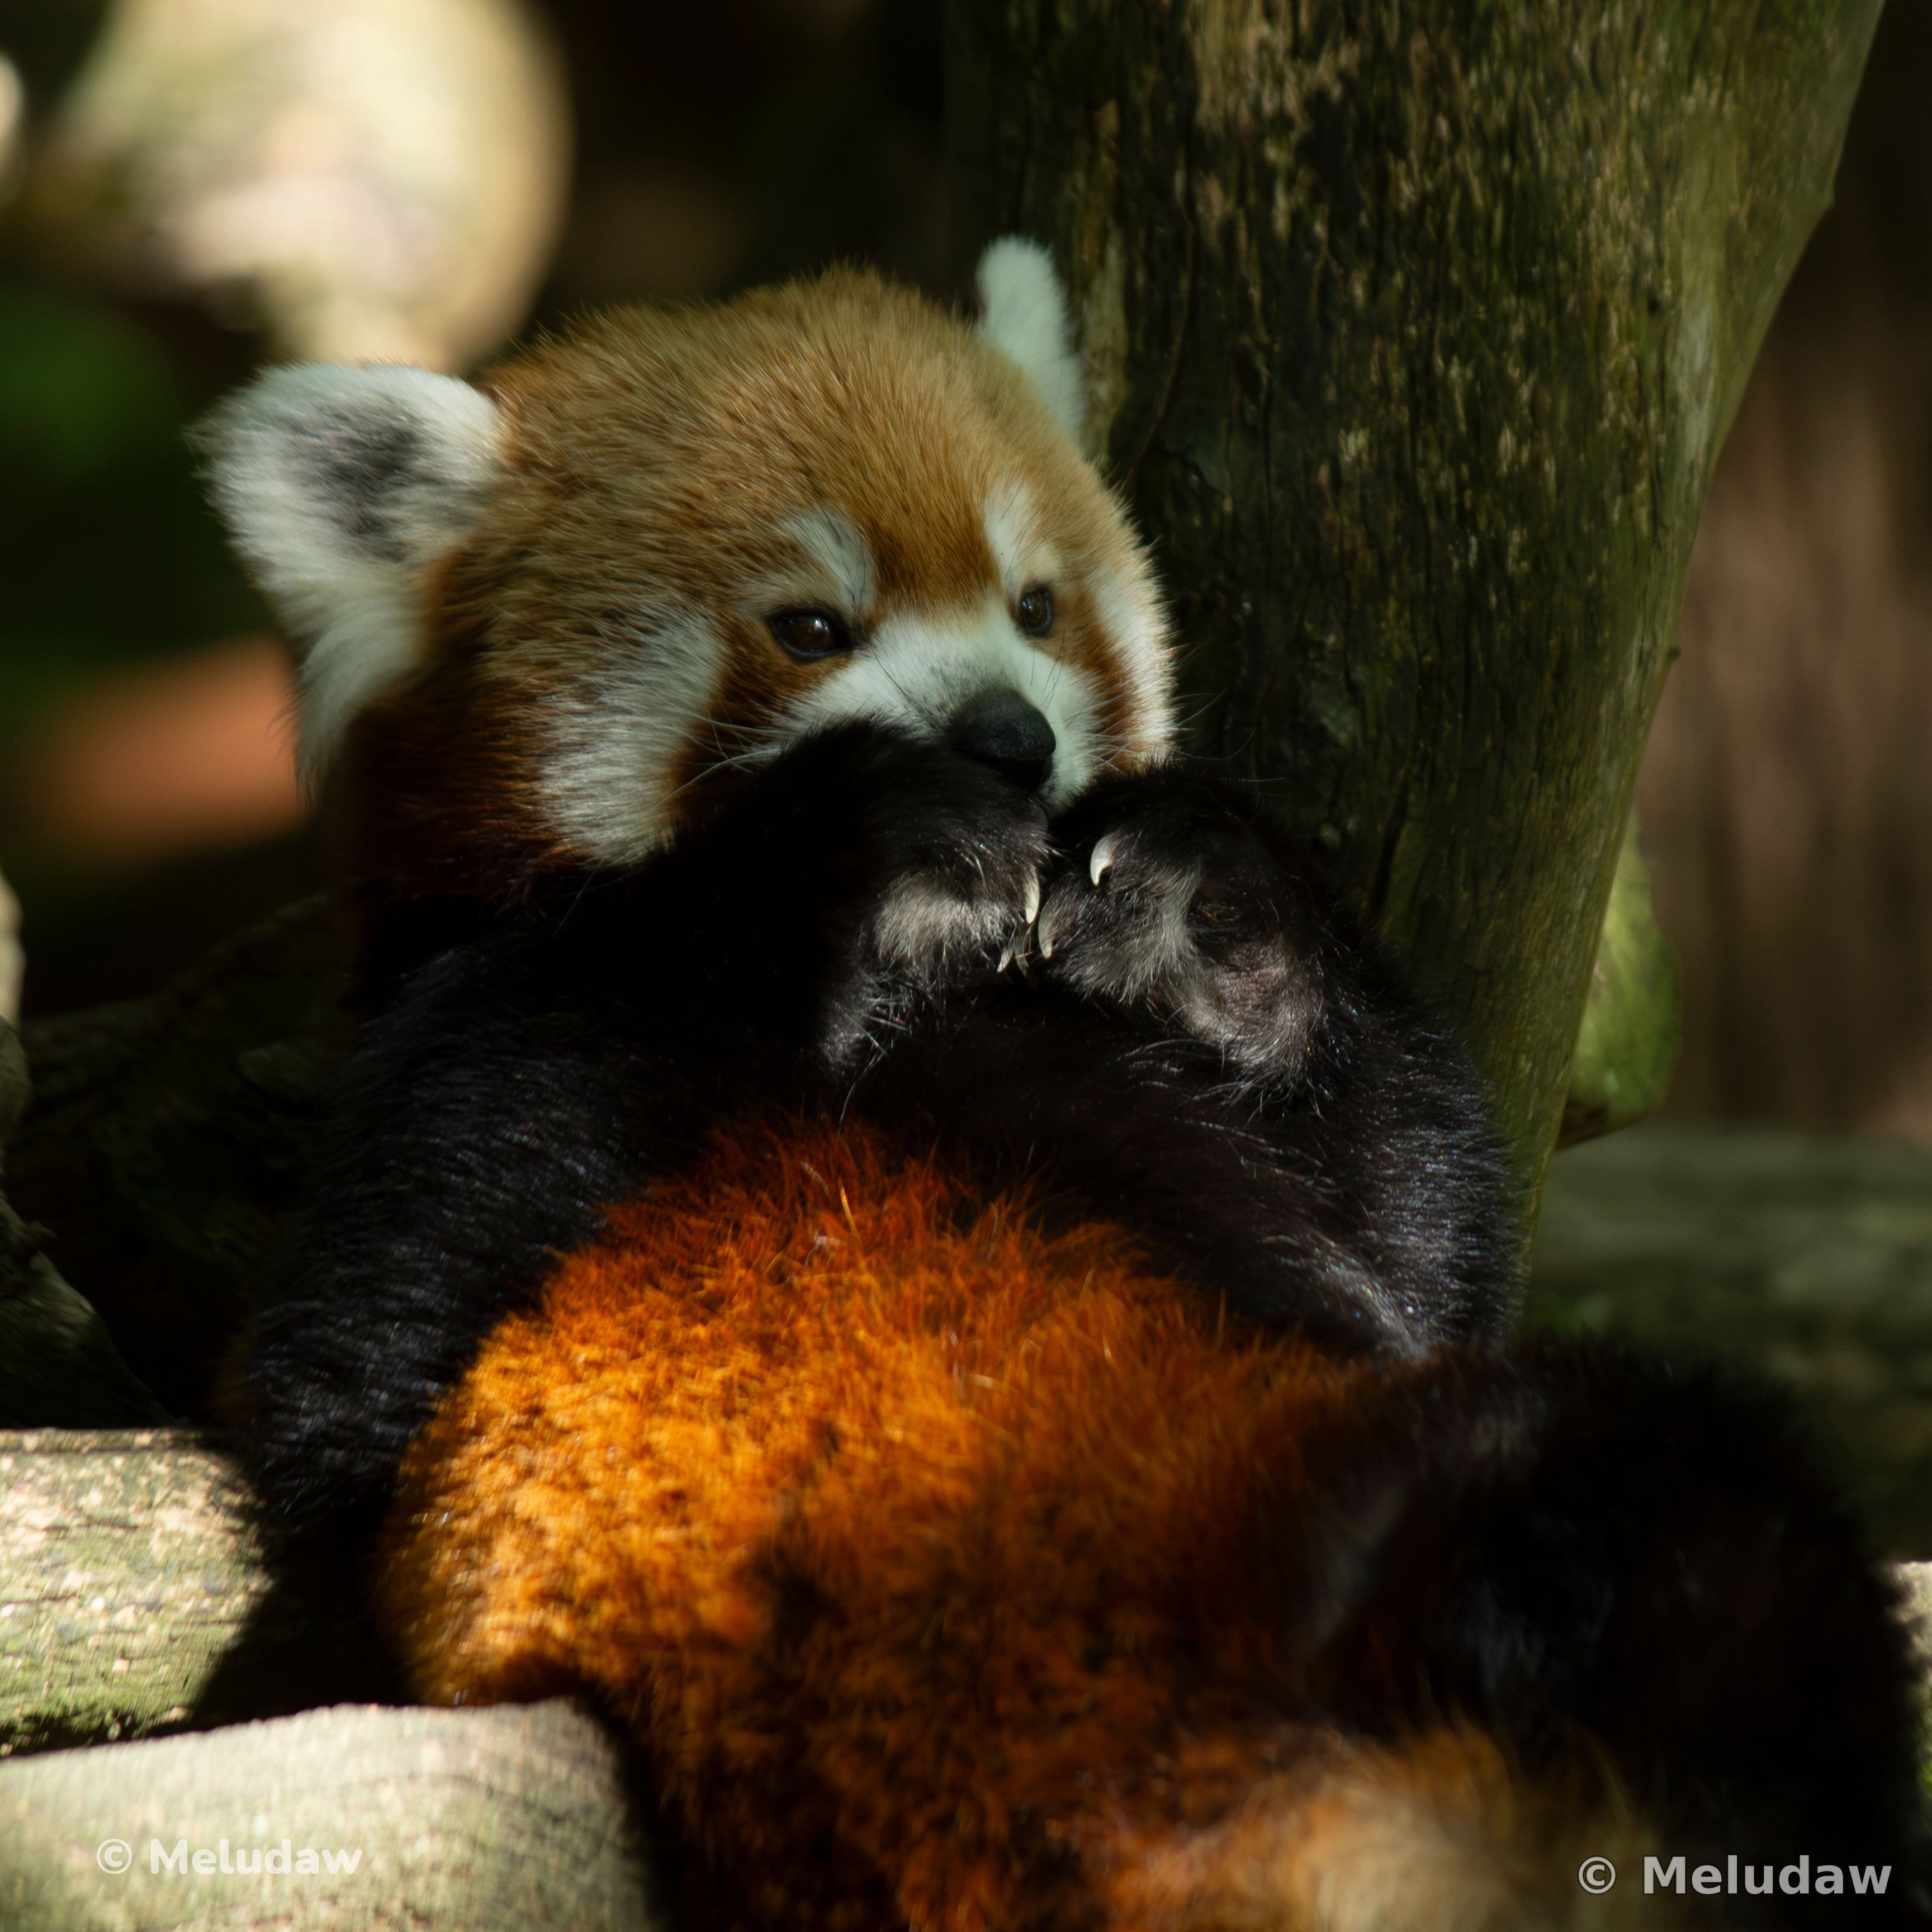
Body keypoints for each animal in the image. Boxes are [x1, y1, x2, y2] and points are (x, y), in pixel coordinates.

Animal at [201, 241, 1922, 1930]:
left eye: (1035, 603)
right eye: (813, 626)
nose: (1006, 737)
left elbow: (1422, 1227)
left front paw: (1203, 902)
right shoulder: (453, 1024)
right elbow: (356, 1386)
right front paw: (849, 836)